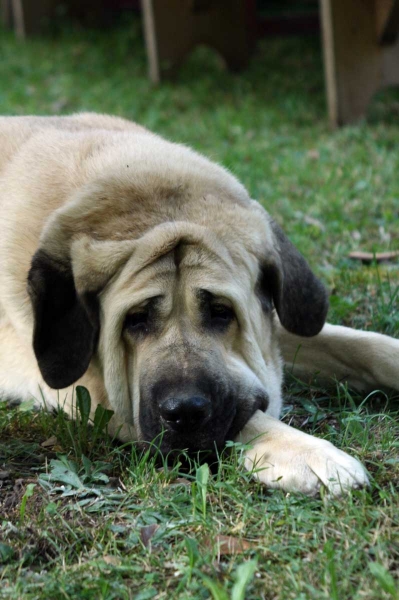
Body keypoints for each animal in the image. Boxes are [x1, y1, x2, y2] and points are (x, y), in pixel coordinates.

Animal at [1, 113, 398, 496]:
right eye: (135, 319)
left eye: (221, 312)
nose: (185, 412)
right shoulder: (98, 395)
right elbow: (247, 418)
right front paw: (309, 453)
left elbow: (361, 344)